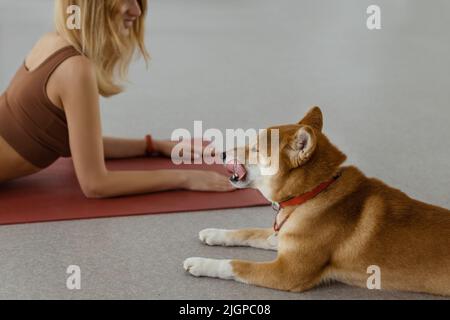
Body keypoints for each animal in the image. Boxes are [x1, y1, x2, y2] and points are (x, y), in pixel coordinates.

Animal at [184, 107, 450, 296]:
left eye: (257, 149)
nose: (222, 153)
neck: (313, 193)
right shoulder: (283, 237)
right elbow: (247, 232)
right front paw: (215, 233)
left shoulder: (287, 272)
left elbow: (236, 265)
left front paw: (201, 263)